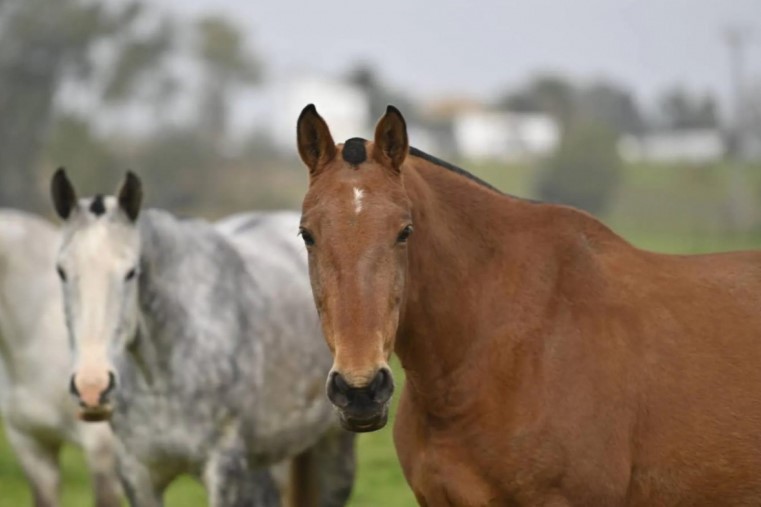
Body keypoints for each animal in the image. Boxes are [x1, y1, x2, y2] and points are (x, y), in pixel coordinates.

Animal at [50, 171, 354, 507]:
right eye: (61, 270)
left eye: (131, 272)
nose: (92, 386)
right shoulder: (137, 473)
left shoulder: (223, 467)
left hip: (332, 449)